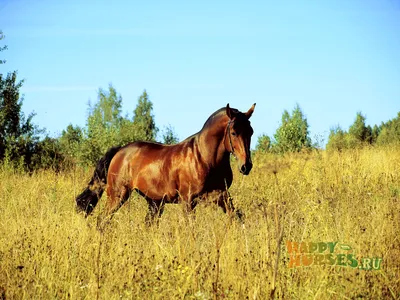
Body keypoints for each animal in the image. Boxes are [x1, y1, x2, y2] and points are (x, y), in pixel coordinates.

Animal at [75, 103, 256, 223]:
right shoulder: (188, 201)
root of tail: (120, 151)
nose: (246, 166)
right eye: (233, 132)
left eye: (251, 132)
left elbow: (237, 217)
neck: (205, 159)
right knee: (102, 221)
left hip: (154, 203)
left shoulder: (221, 195)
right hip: (117, 195)